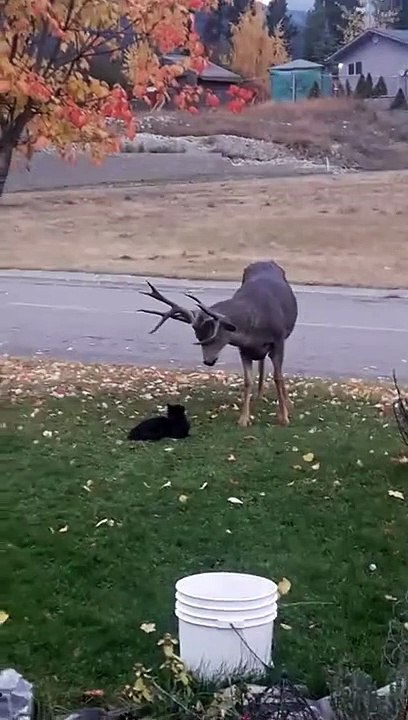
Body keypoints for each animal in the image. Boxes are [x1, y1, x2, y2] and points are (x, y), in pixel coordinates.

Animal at [139, 261, 298, 427]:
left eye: (215, 336)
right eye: (198, 336)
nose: (208, 361)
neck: (255, 326)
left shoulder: (278, 340)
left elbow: (278, 377)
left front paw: (284, 417)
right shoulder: (244, 349)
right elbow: (247, 381)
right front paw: (243, 419)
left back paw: (286, 401)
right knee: (261, 362)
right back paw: (259, 395)